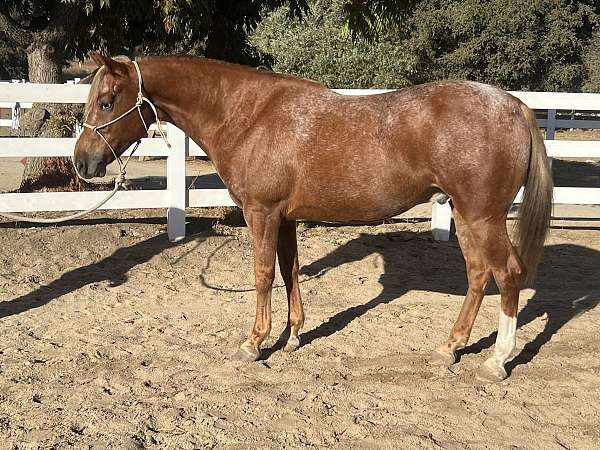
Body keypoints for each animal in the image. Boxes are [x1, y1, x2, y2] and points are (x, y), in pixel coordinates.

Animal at [75, 53, 552, 384]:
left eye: (106, 101)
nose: (83, 162)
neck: (249, 116)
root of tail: (513, 105)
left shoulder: (262, 213)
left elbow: (264, 274)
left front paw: (254, 343)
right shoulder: (285, 218)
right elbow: (290, 272)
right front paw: (293, 337)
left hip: (483, 217)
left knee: (507, 274)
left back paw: (496, 361)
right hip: (467, 216)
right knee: (478, 275)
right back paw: (450, 347)